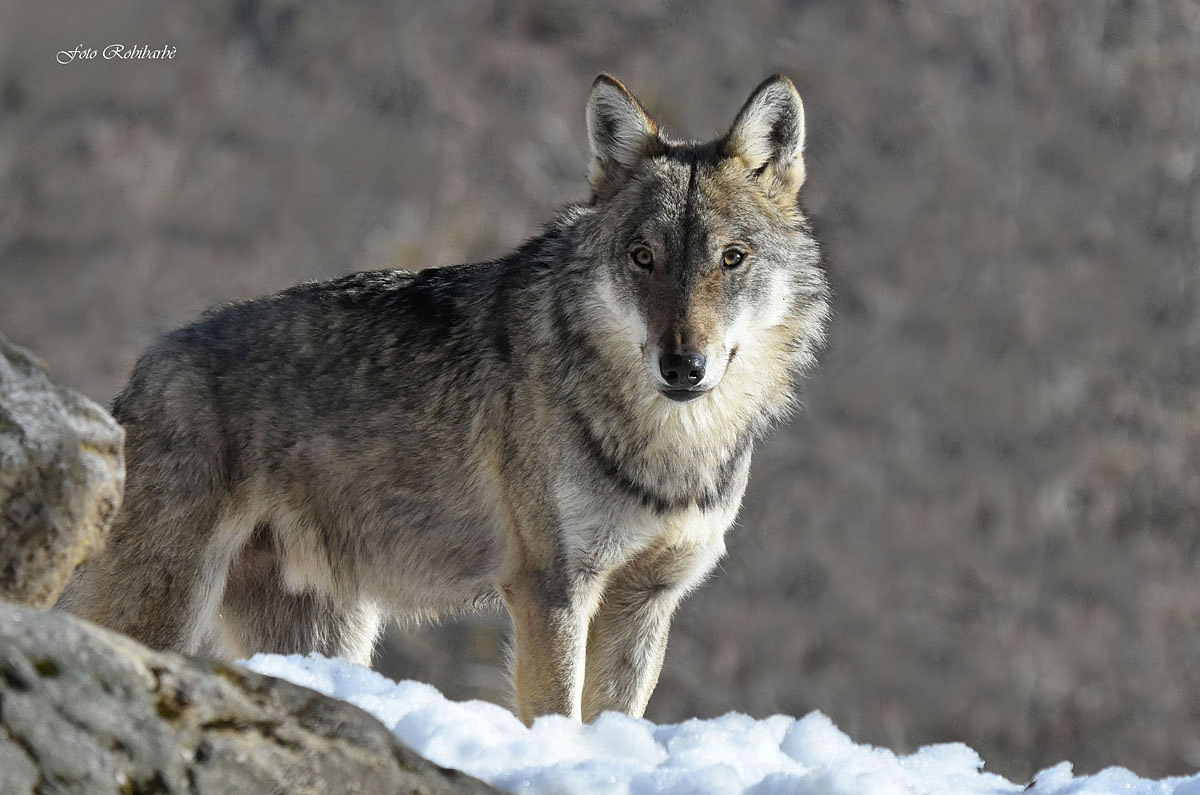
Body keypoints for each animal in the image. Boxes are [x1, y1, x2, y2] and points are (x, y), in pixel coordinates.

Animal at [58, 74, 831, 724]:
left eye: (731, 258)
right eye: (643, 257)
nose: (683, 366)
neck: (670, 445)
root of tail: (139, 373)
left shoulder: (647, 599)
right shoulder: (551, 590)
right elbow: (557, 716)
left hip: (322, 634)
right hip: (166, 608)